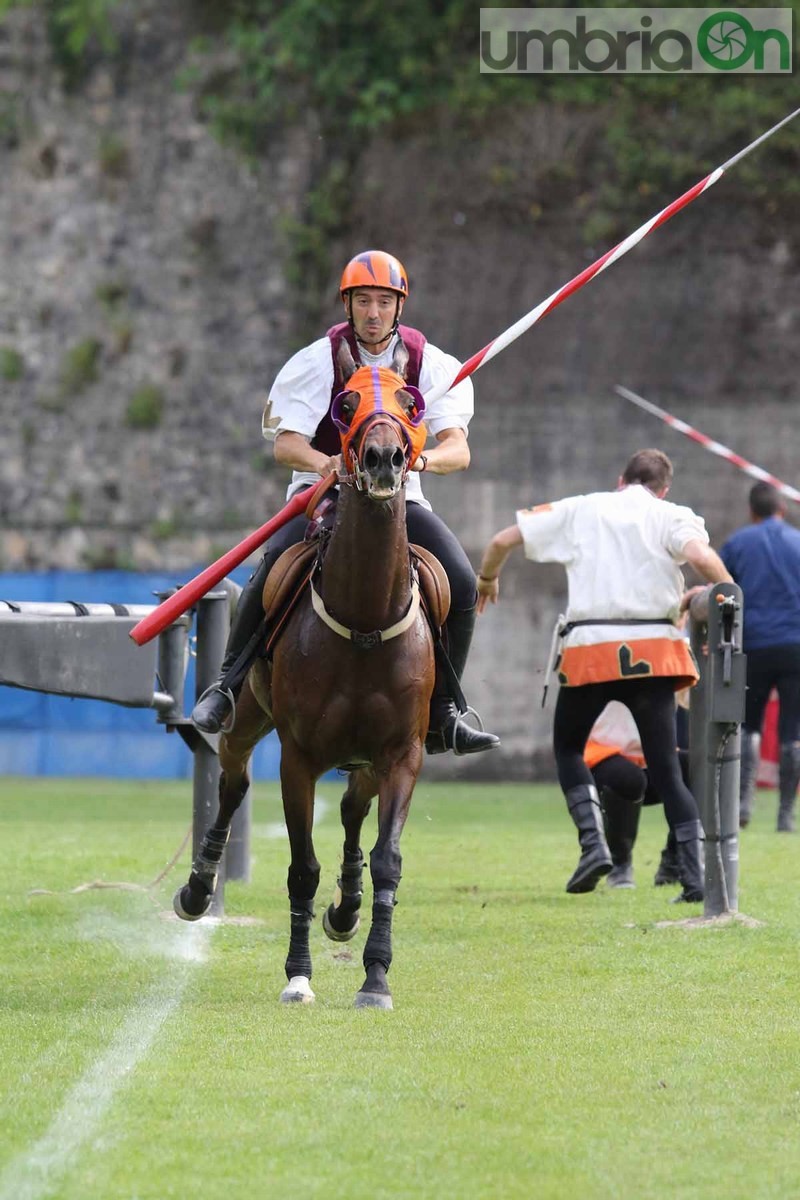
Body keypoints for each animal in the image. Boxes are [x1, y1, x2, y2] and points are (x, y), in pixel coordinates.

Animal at [173, 343, 438, 1008]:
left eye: (410, 402)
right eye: (346, 403)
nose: (382, 458)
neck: (364, 621)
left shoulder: (402, 753)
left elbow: (387, 858)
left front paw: (376, 976)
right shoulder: (298, 757)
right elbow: (301, 868)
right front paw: (298, 975)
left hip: (366, 760)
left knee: (350, 812)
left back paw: (346, 909)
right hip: (246, 718)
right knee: (232, 782)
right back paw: (198, 888)